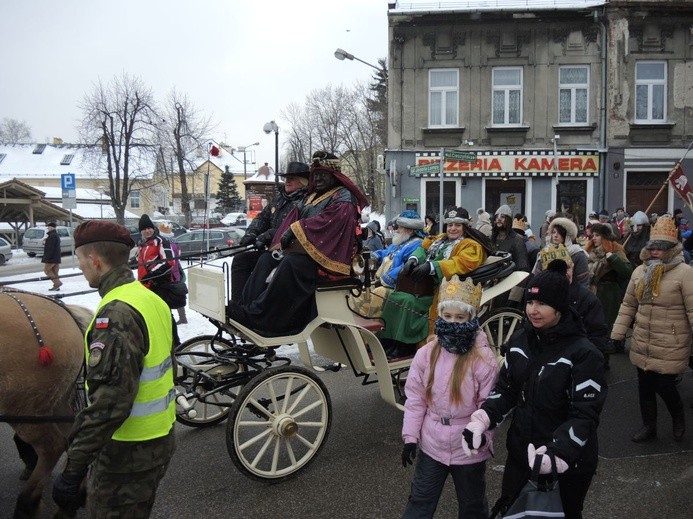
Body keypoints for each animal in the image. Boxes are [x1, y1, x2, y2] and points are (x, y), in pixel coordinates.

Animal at [0, 288, 92, 519]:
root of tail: (65, 311)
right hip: (55, 402)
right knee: (72, 439)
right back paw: (71, 499)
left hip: (25, 409)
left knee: (53, 446)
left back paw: (27, 504)